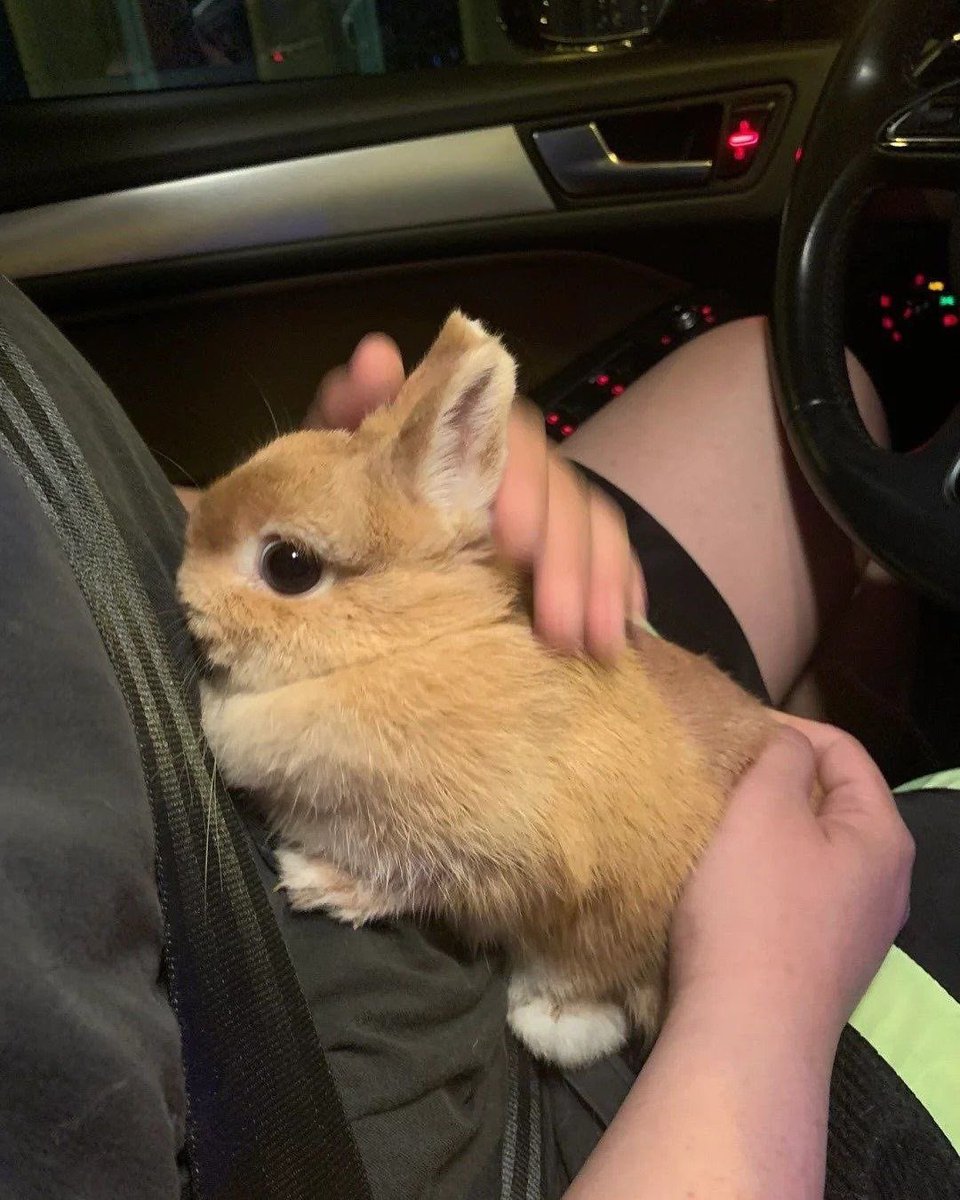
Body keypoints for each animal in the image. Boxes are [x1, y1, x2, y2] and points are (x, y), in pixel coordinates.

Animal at [177, 310, 777, 1070]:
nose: (183, 582)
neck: (408, 642)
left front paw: (318, 882)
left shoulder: (509, 859)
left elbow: (415, 882)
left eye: (289, 565)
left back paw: (550, 1018)